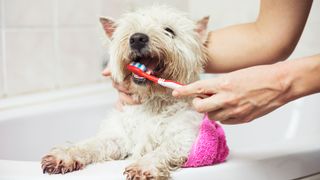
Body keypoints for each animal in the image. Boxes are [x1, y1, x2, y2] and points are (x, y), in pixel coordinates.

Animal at [41, 5, 209, 180]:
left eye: (169, 30)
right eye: (130, 30)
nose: (137, 38)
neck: (152, 101)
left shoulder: (184, 138)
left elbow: (163, 150)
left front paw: (143, 166)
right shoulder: (119, 137)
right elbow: (91, 144)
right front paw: (64, 155)